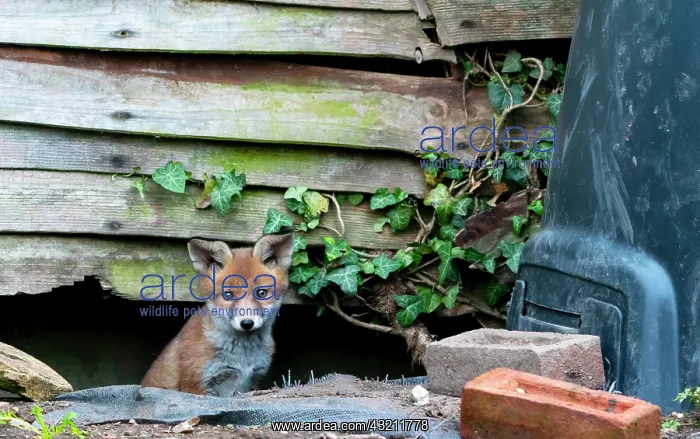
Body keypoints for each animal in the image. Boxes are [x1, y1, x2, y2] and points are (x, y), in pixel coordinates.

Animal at [141, 232, 294, 397]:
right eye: (228, 295)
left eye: (261, 293)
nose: (247, 323)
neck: (242, 357)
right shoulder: (197, 385)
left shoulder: (252, 381)